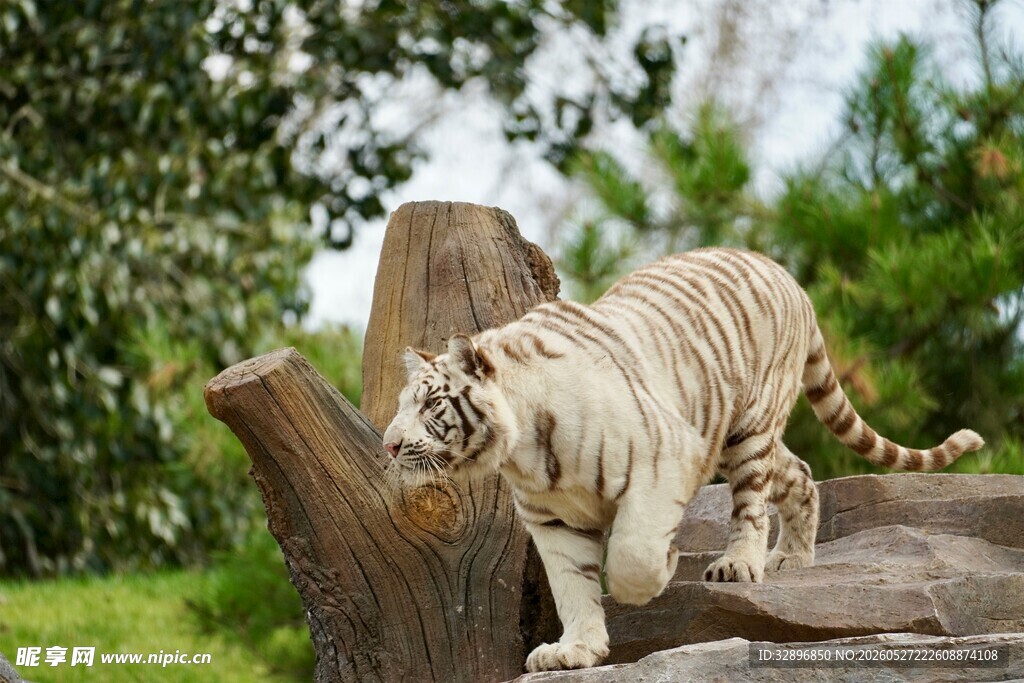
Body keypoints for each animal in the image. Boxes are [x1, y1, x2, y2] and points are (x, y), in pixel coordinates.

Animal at [381, 247, 983, 673]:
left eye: (431, 403)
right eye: (403, 404)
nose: (388, 444)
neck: (522, 450)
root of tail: (786, 274)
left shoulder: (662, 458)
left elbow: (630, 555)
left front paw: (661, 572)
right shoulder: (550, 519)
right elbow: (572, 585)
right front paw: (575, 650)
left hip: (747, 429)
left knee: (751, 504)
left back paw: (741, 564)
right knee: (801, 474)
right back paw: (793, 557)